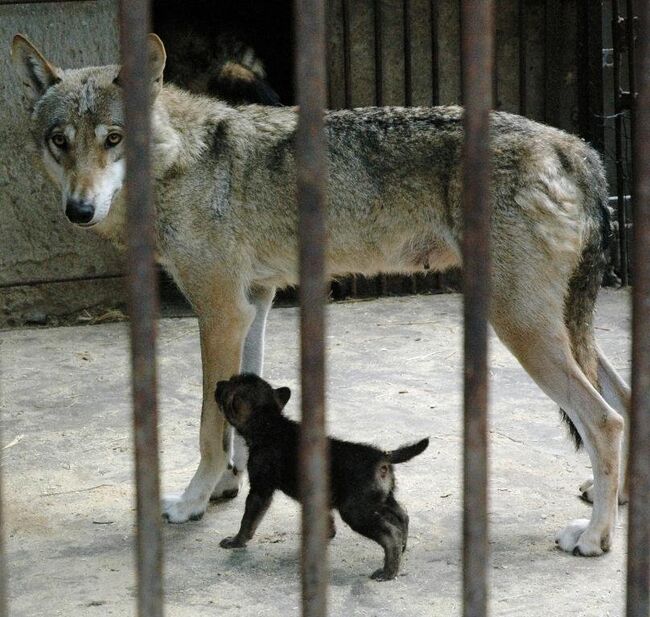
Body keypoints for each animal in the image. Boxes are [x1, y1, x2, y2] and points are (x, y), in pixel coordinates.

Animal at [10, 32, 628, 552]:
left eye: (113, 139)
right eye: (59, 142)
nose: (79, 210)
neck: (181, 161)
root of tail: (575, 146)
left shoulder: (220, 311)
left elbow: (209, 428)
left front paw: (190, 503)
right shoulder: (254, 303)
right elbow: (236, 408)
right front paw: (227, 485)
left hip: (520, 325)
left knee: (605, 421)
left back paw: (595, 536)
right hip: (557, 326)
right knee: (624, 398)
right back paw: (614, 499)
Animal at [215, 372, 428, 580]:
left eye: (228, 388)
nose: (218, 383)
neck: (270, 424)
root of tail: (382, 457)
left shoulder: (260, 490)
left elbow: (247, 520)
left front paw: (236, 541)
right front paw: (326, 534)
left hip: (356, 511)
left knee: (390, 534)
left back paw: (388, 571)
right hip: (380, 500)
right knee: (402, 515)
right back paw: (402, 549)